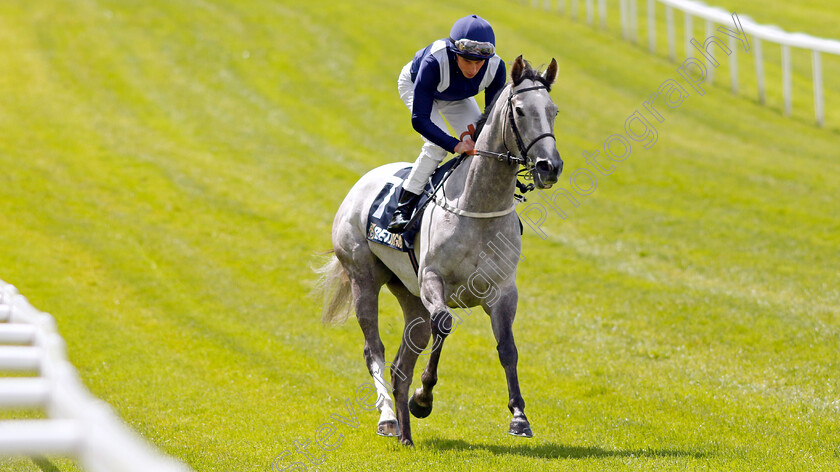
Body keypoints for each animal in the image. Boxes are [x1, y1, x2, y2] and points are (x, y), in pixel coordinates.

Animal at [318, 56, 560, 446]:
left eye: (553, 111)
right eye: (521, 110)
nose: (549, 166)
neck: (477, 205)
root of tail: (362, 182)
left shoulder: (503, 291)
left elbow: (507, 348)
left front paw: (519, 417)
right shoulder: (434, 280)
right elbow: (444, 324)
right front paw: (423, 398)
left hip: (411, 297)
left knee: (401, 364)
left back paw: (405, 433)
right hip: (363, 278)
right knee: (375, 349)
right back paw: (389, 418)